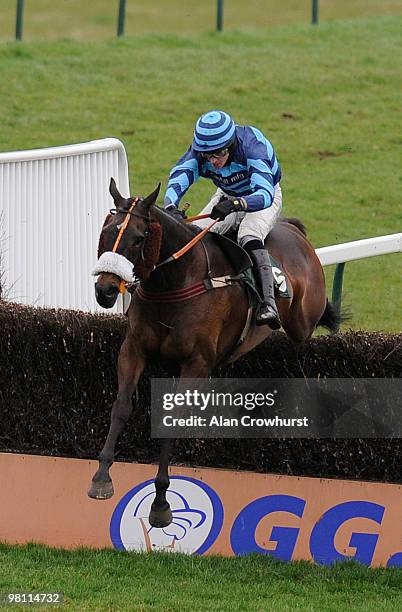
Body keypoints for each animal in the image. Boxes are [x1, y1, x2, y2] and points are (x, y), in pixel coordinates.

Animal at [88, 179, 340, 528]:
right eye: (106, 231)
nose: (106, 290)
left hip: (303, 320)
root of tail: (293, 230)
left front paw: (161, 503)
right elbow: (121, 407)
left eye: (139, 237)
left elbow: (170, 422)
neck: (173, 284)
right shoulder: (133, 349)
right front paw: (101, 477)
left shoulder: (196, 364)